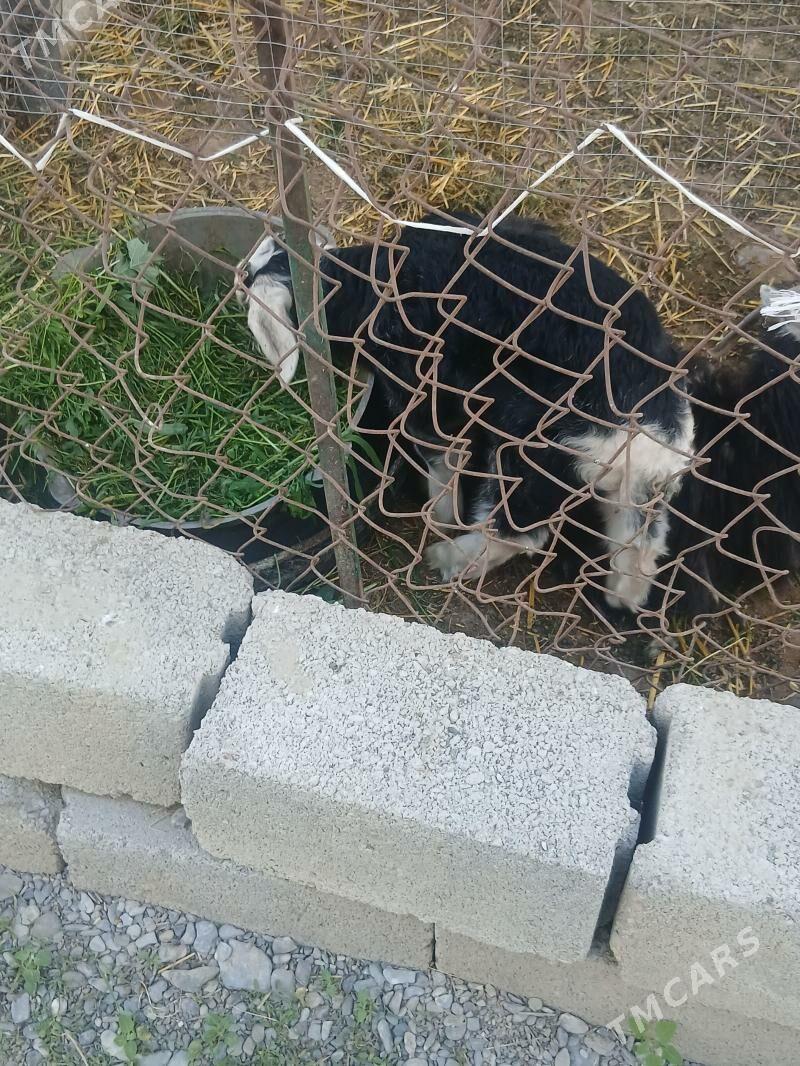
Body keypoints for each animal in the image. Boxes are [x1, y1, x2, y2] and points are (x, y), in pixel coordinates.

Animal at [240, 211, 692, 612]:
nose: (240, 275)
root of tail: (647, 432)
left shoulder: (421, 385)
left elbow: (439, 452)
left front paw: (440, 513)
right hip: (638, 484)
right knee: (643, 536)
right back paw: (623, 596)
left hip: (533, 448)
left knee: (519, 531)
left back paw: (447, 556)